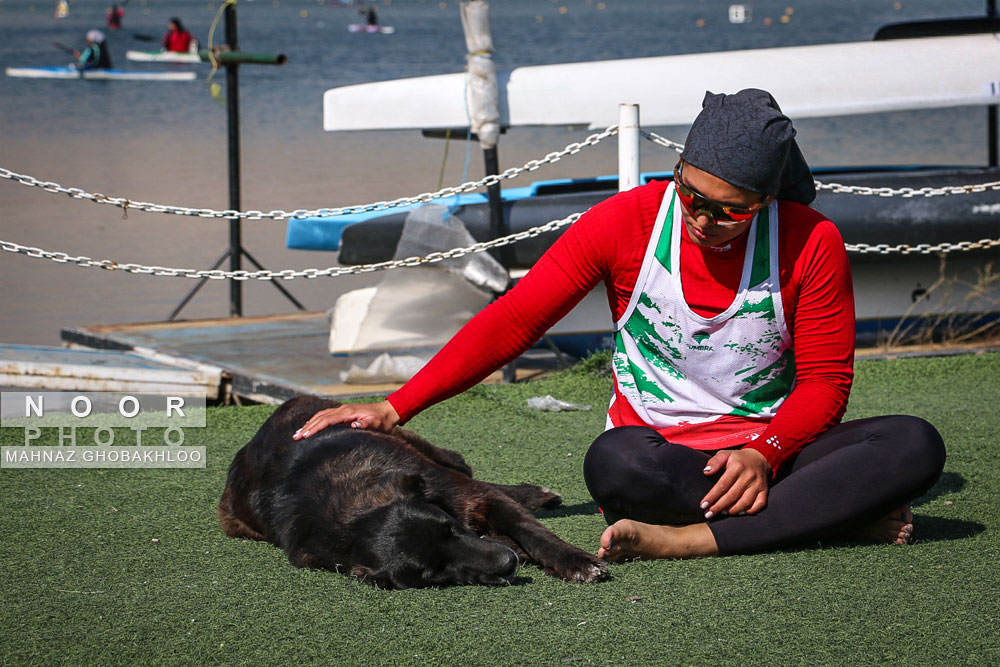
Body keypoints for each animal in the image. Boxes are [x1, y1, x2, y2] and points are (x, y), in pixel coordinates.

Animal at [220, 396, 608, 588]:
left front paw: (577, 561)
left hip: (426, 448)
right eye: (433, 572)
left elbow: (533, 531)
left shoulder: (467, 496)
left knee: (466, 468)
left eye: (450, 529)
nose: (507, 564)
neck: (353, 510)